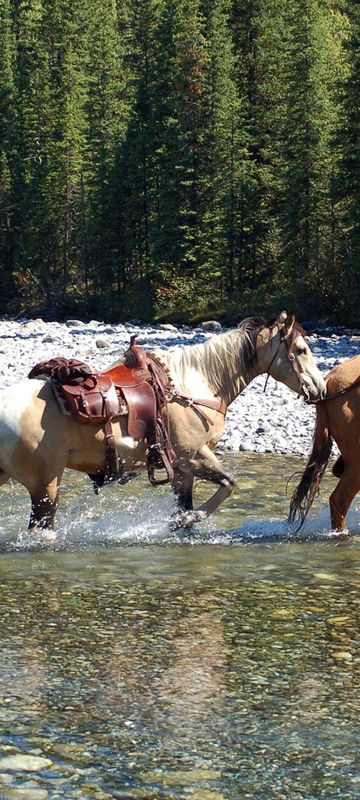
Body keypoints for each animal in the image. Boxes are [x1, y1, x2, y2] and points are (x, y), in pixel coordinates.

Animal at [0, 310, 326, 532]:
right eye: (300, 350)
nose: (320, 388)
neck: (196, 383)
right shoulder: (193, 456)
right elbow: (228, 484)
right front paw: (188, 519)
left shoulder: (181, 468)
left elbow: (186, 504)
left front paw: (183, 522)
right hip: (45, 486)